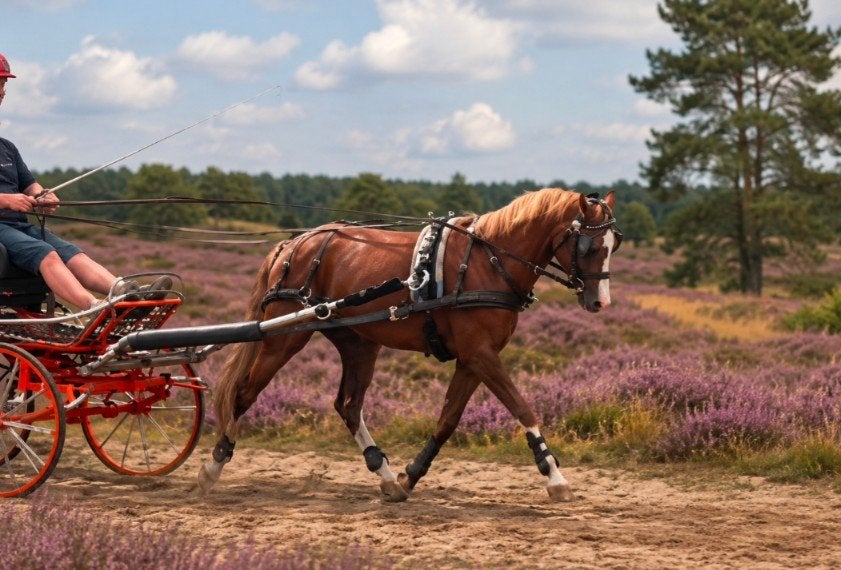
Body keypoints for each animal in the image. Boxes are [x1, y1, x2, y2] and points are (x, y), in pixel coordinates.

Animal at [196, 188, 619, 502]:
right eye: (589, 246)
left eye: (614, 245)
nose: (600, 303)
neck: (489, 261)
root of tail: (293, 243)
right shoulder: (481, 355)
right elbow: (521, 407)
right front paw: (554, 475)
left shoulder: (473, 359)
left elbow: (448, 420)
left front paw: (410, 477)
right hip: (286, 337)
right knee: (243, 394)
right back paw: (214, 466)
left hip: (358, 343)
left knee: (348, 406)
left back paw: (383, 474)